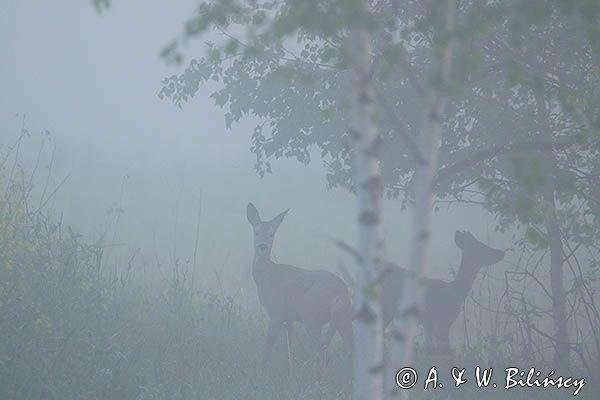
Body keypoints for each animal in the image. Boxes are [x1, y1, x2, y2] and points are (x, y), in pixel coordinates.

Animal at [246, 203, 354, 368]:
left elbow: (267, 348)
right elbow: (290, 348)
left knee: (323, 351)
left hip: (311, 315)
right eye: (256, 232)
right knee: (350, 349)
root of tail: (340, 294)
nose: (262, 246)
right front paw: (291, 369)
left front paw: (260, 368)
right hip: (344, 318)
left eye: (272, 234)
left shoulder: (277, 312)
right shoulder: (289, 317)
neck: (267, 275)